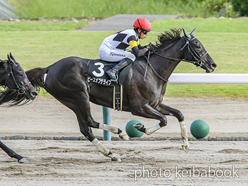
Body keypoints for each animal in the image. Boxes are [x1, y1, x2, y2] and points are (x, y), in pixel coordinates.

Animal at [24, 28, 215, 161]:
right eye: (197, 44)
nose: (213, 65)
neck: (151, 69)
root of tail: (50, 68)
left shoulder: (155, 104)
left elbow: (179, 114)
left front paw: (185, 144)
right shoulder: (139, 108)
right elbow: (164, 120)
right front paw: (140, 127)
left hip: (72, 101)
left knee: (86, 128)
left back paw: (111, 154)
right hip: (79, 96)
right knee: (89, 122)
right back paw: (120, 133)